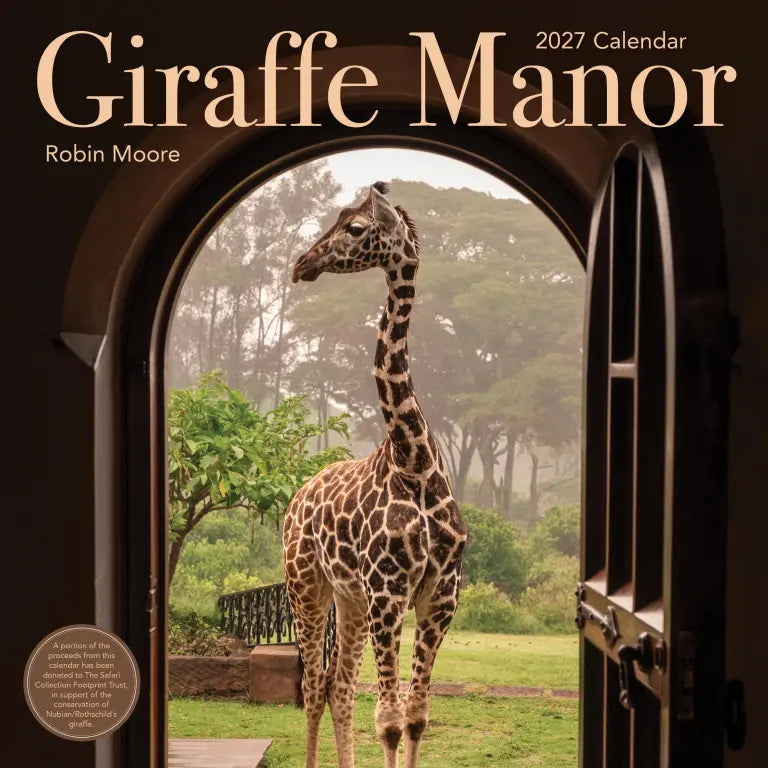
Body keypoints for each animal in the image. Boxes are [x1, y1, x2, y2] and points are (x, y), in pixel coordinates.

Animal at [283, 182, 467, 768]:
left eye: (356, 228)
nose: (302, 263)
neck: (415, 462)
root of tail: (299, 494)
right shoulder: (389, 591)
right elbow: (387, 721)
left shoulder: (438, 598)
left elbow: (415, 718)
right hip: (306, 584)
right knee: (313, 684)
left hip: (351, 599)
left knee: (338, 684)